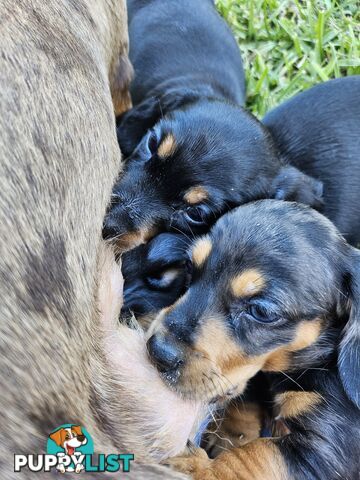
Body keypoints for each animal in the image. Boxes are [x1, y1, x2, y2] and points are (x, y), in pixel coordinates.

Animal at [147, 200, 360, 480]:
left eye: (261, 311)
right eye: (191, 267)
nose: (157, 351)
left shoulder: (327, 449)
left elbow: (255, 454)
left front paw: (197, 466)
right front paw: (231, 432)